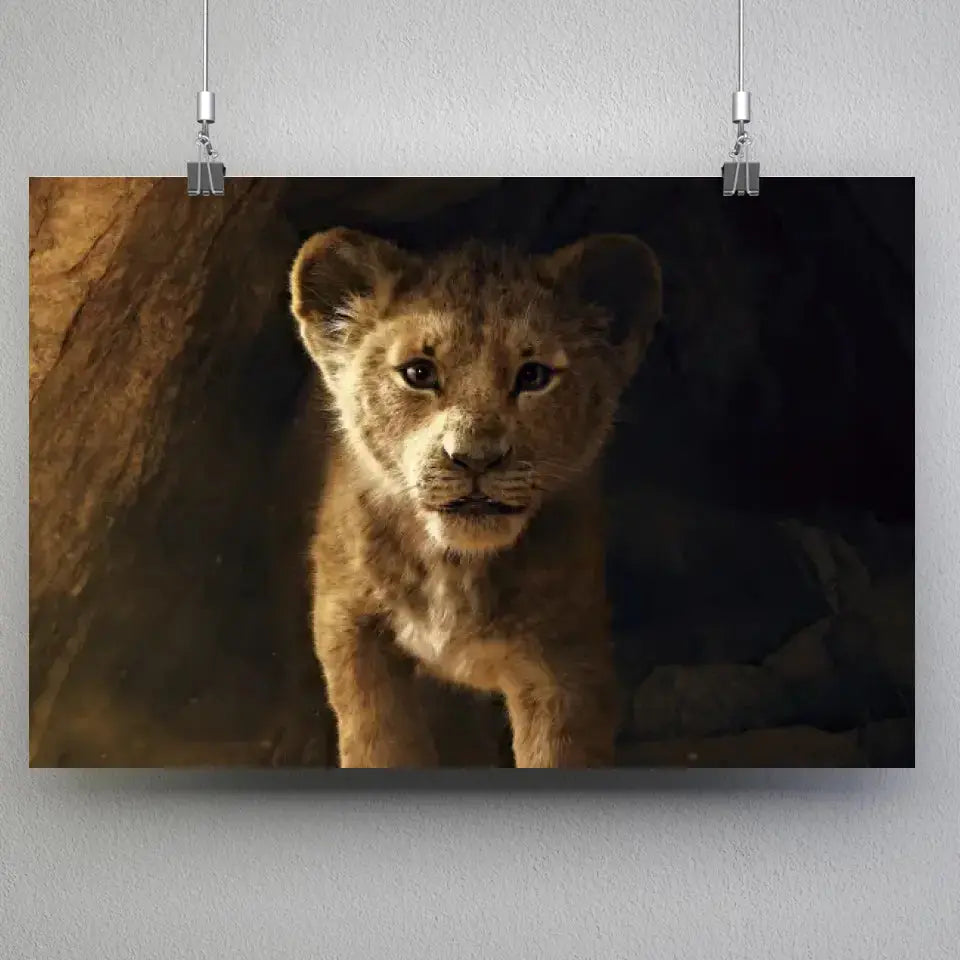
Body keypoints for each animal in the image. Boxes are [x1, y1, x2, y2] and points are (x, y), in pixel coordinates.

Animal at [289, 227, 661, 767]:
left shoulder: (567, 658)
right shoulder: (349, 622)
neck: (455, 565)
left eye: (533, 376)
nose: (475, 459)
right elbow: (379, 741)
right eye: (419, 374)